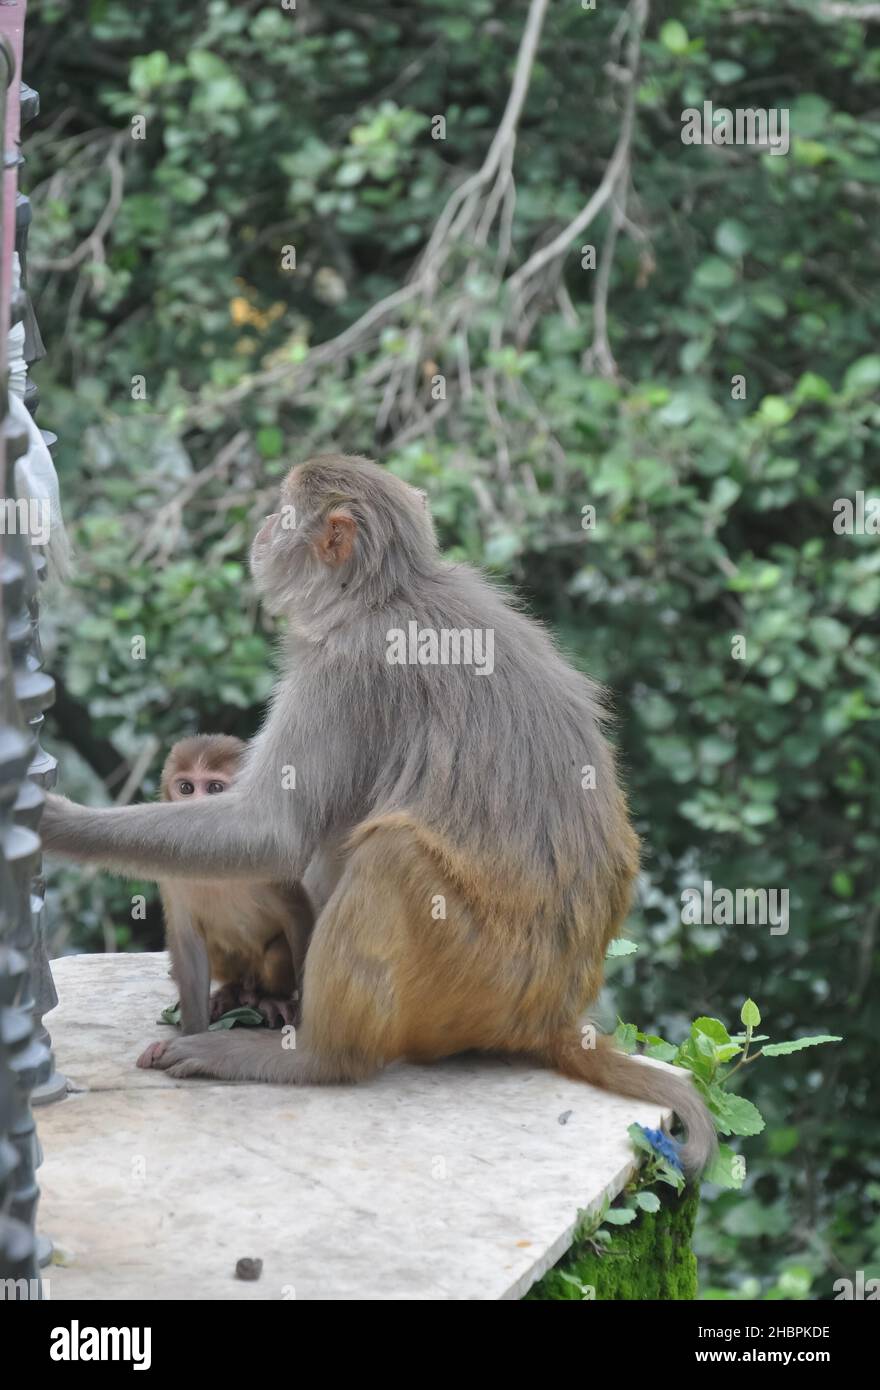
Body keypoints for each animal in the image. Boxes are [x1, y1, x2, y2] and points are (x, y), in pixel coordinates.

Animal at [135, 733, 314, 1067]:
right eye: (186, 788)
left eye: (215, 789)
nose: (195, 815)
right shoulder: (171, 873)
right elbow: (187, 938)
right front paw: (189, 1038)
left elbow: (297, 914)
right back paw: (230, 993)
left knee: (275, 954)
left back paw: (268, 998)